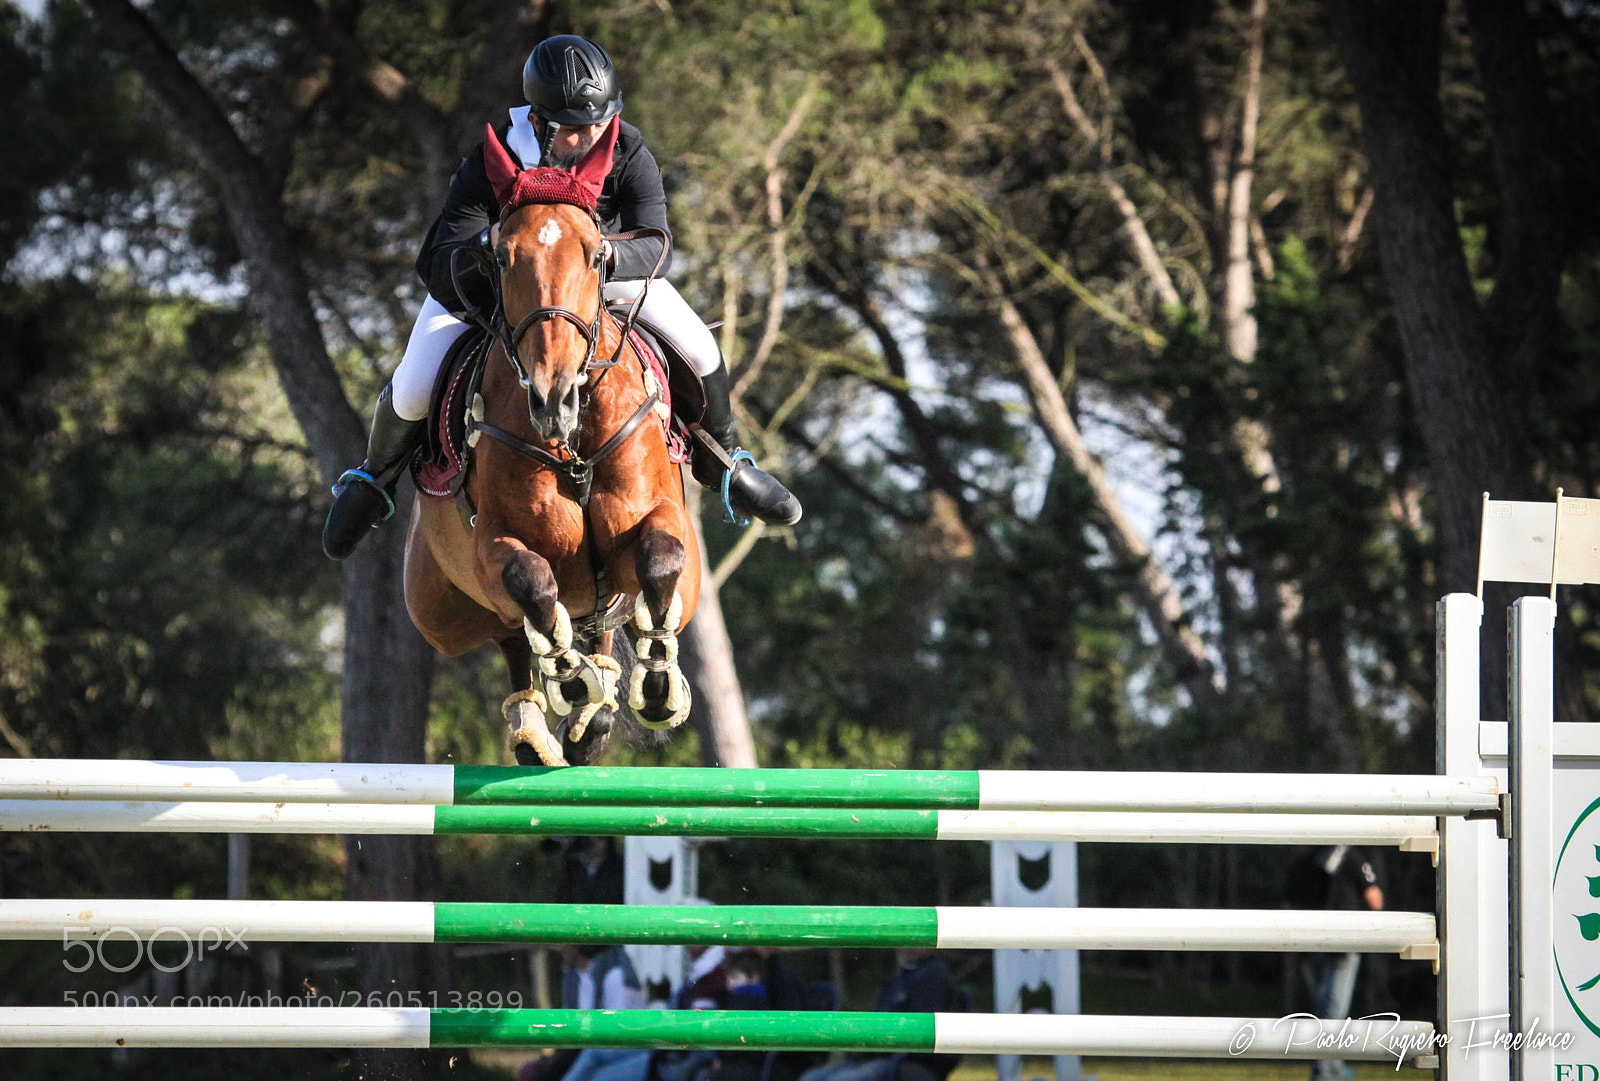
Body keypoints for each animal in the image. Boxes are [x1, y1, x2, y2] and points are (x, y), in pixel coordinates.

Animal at [402, 123, 700, 767]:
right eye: (501, 258)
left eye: (596, 254)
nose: (552, 398)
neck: (574, 443)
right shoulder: (492, 543)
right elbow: (531, 583)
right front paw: (570, 679)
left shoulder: (660, 519)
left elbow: (660, 561)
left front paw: (657, 683)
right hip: (436, 608)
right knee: (511, 632)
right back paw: (539, 725)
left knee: (607, 616)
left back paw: (600, 706)